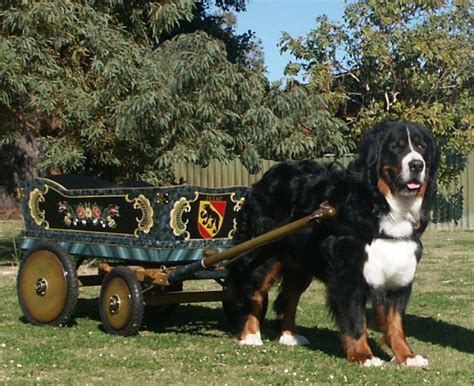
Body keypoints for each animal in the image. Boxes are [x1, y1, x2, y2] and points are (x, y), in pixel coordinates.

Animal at [228, 120, 438, 368]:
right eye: (397, 147)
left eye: (421, 147)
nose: (416, 164)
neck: (381, 204)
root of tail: (267, 177)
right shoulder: (349, 273)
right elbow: (355, 319)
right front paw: (363, 355)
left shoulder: (399, 271)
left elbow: (395, 322)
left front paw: (406, 356)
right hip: (264, 253)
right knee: (255, 293)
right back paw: (251, 335)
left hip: (301, 265)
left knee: (288, 297)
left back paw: (290, 336)